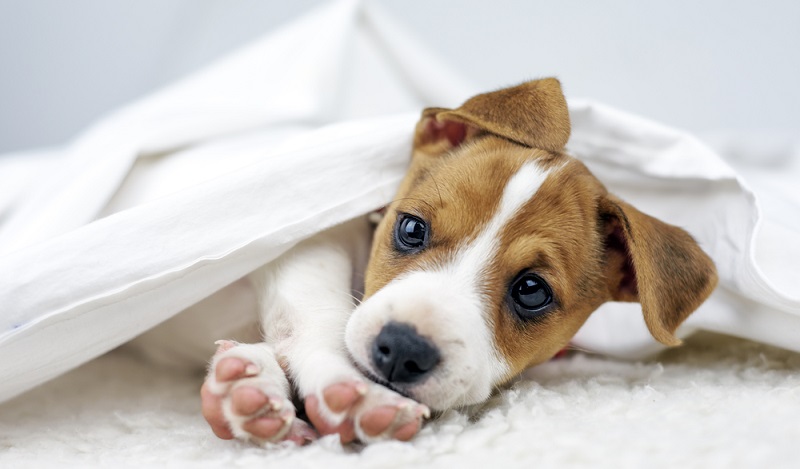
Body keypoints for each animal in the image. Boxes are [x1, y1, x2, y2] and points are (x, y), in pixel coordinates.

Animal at [200, 79, 720, 446]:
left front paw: (249, 385)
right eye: (412, 229)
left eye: (532, 290)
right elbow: (316, 311)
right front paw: (342, 386)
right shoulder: (307, 237)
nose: (403, 349)